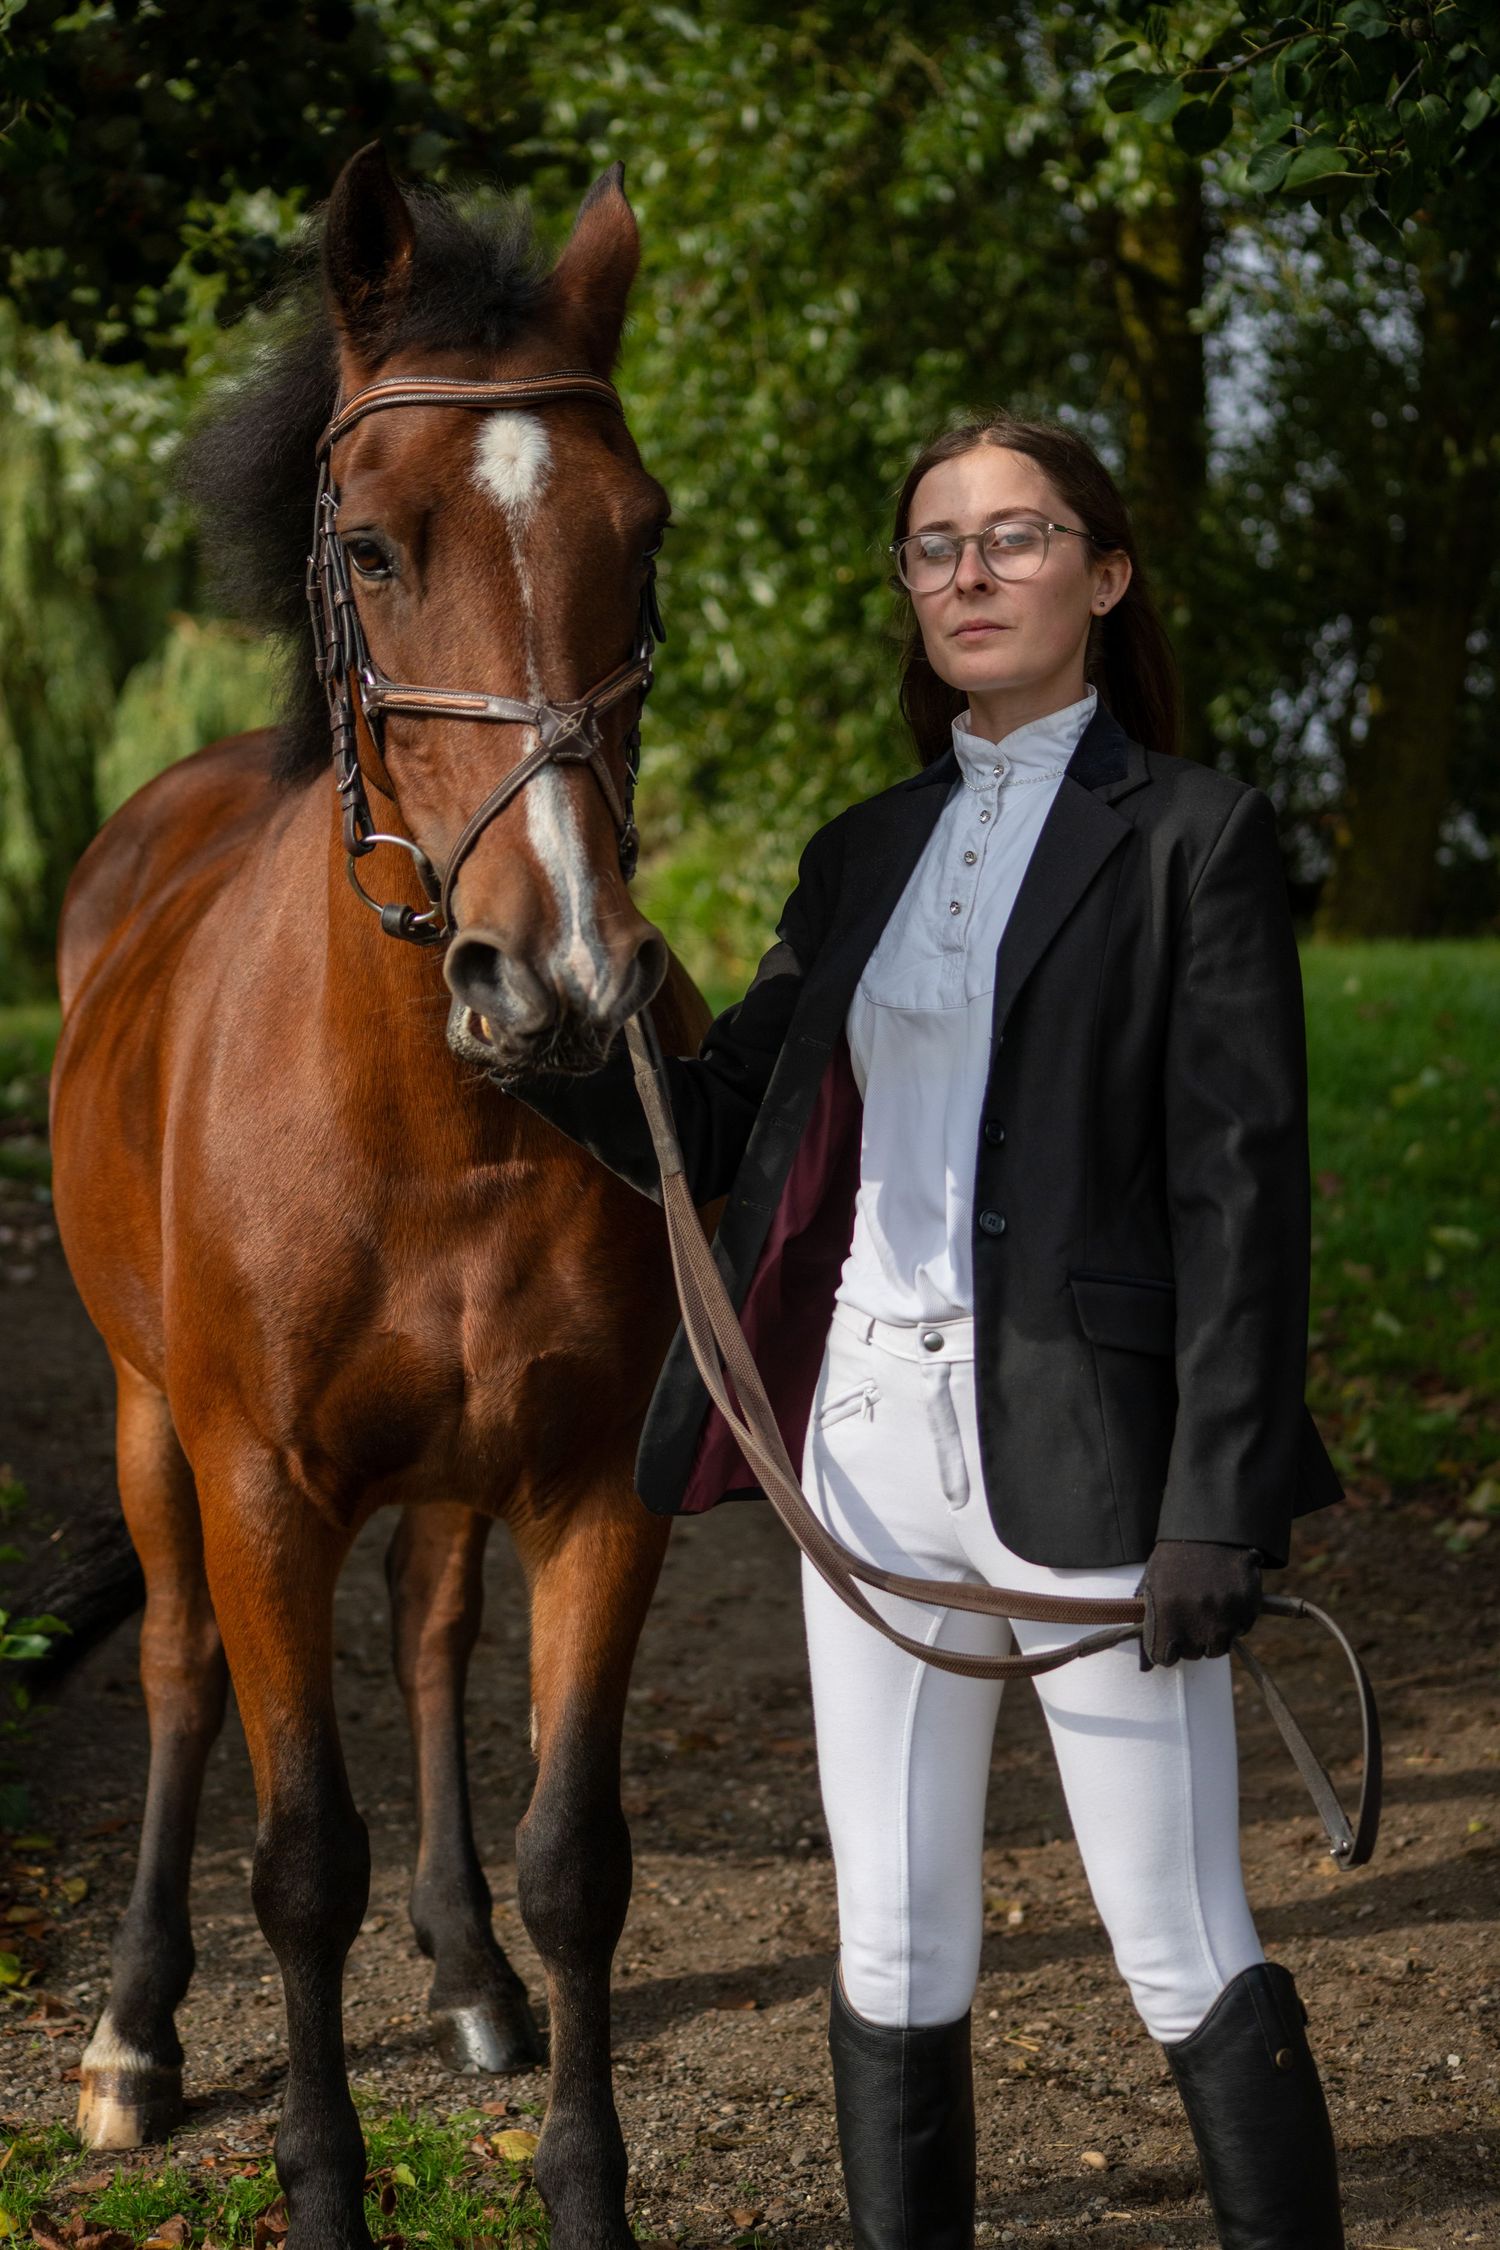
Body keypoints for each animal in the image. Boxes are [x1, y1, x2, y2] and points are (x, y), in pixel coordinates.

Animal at [49, 143, 708, 2250]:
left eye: (643, 538)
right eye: (372, 551)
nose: (559, 978)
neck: (442, 1124)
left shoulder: (597, 1488)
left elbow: (579, 1856)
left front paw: (580, 2184)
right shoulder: (261, 1487)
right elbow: (300, 1864)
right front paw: (320, 2187)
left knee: (426, 1638)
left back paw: (475, 1974)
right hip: (151, 1426)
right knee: (179, 1679)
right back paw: (135, 2037)